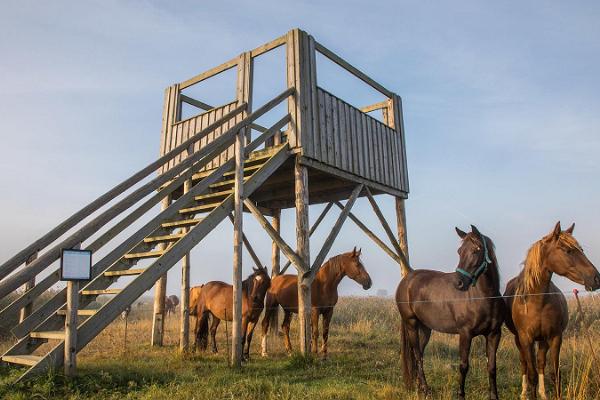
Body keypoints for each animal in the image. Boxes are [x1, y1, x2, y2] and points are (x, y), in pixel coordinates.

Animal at [398, 225, 506, 400]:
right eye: (459, 251)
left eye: (477, 249)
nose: (459, 283)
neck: (485, 297)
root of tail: (407, 280)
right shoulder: (465, 334)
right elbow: (463, 366)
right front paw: (461, 395)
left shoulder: (494, 334)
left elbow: (491, 367)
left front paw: (494, 396)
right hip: (411, 324)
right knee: (417, 355)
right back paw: (426, 390)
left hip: (425, 328)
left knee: (418, 354)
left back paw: (420, 387)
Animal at [504, 222, 596, 400]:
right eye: (567, 250)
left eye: (581, 249)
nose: (596, 278)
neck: (537, 301)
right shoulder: (526, 338)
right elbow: (531, 374)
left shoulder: (555, 337)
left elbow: (555, 373)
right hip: (520, 340)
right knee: (524, 363)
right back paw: (524, 392)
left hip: (542, 340)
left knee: (540, 362)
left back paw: (543, 393)